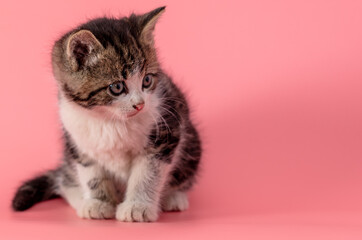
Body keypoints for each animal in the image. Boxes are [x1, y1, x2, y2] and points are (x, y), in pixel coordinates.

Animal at [11, 6, 202, 223]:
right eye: (117, 87)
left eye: (146, 80)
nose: (140, 104)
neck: (108, 119)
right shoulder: (78, 142)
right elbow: (91, 174)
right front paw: (98, 203)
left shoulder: (165, 130)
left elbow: (147, 174)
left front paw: (137, 206)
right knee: (64, 179)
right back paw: (79, 197)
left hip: (191, 142)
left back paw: (173, 197)